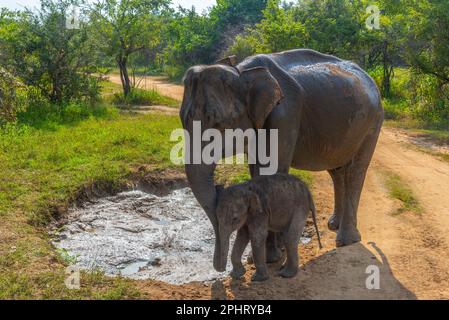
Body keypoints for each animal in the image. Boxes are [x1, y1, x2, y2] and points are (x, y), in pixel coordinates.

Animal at [180, 48, 384, 272]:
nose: (222, 268)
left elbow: (272, 170)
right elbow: (256, 170)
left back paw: (346, 240)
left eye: (218, 124)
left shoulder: (284, 116)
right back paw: (334, 225)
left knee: (357, 169)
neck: (242, 71)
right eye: (182, 120)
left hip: (373, 122)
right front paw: (261, 256)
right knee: (337, 171)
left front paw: (270, 258)